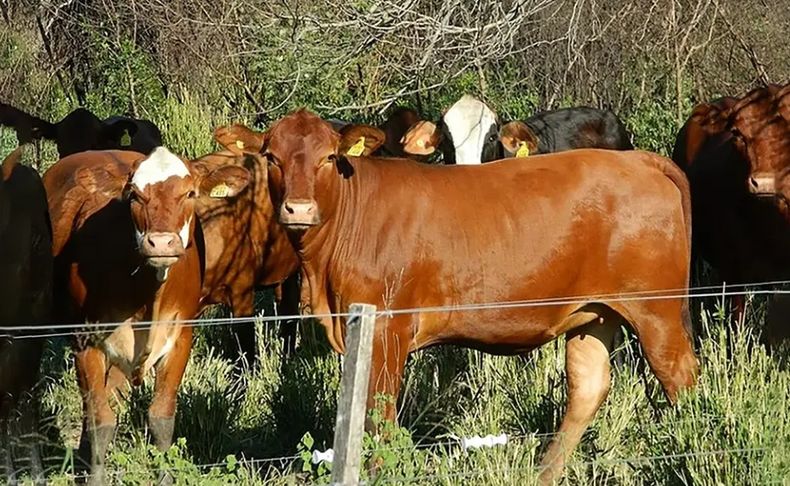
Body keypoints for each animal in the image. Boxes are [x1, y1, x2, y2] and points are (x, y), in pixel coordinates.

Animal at [43, 147, 250, 484]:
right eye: (135, 196)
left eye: (189, 193)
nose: (161, 242)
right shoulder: (85, 339)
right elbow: (101, 421)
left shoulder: (181, 338)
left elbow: (161, 417)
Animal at [240, 108, 698, 484]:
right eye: (272, 157)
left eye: (329, 158)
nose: (298, 209)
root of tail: (639, 159)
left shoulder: (388, 330)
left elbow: (378, 417)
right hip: (596, 314)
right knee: (588, 387)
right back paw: (543, 473)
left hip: (657, 312)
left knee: (682, 381)